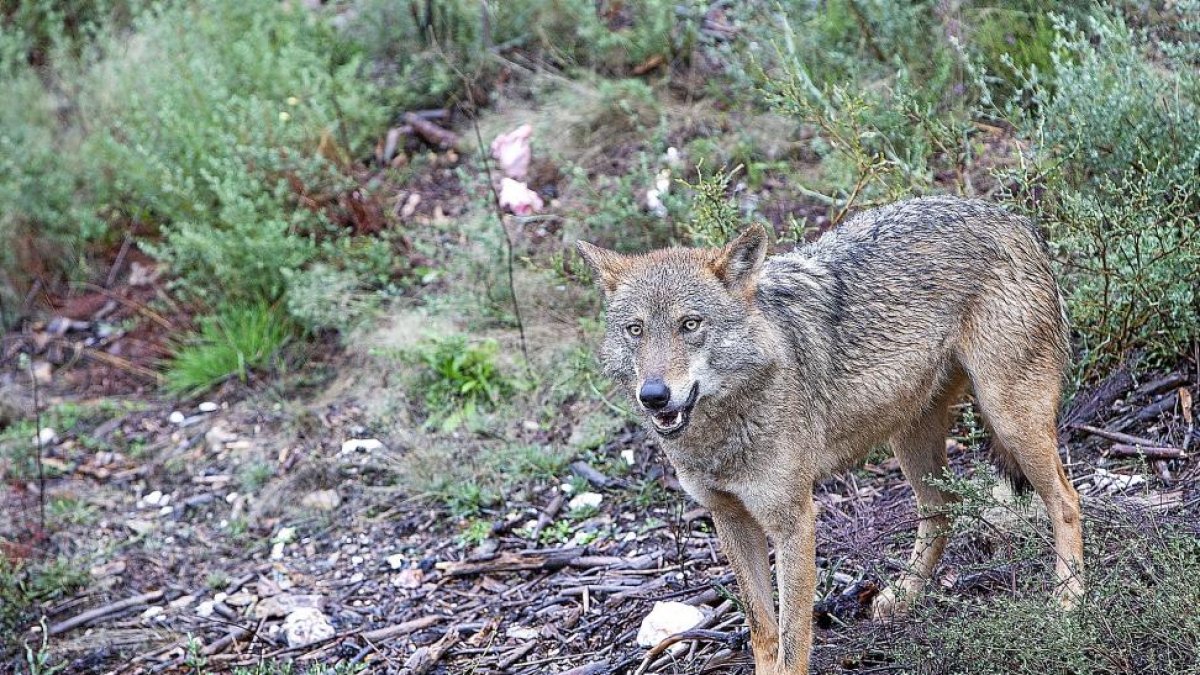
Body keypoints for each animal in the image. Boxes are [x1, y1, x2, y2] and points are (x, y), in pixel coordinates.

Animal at [577, 197, 1084, 674]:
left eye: (690, 325)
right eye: (636, 330)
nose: (654, 395)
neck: (723, 431)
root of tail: (1014, 218)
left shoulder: (794, 521)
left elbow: (793, 638)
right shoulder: (730, 519)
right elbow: (763, 631)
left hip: (1009, 418)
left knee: (1066, 500)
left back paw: (1069, 600)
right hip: (910, 437)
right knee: (942, 508)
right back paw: (903, 596)